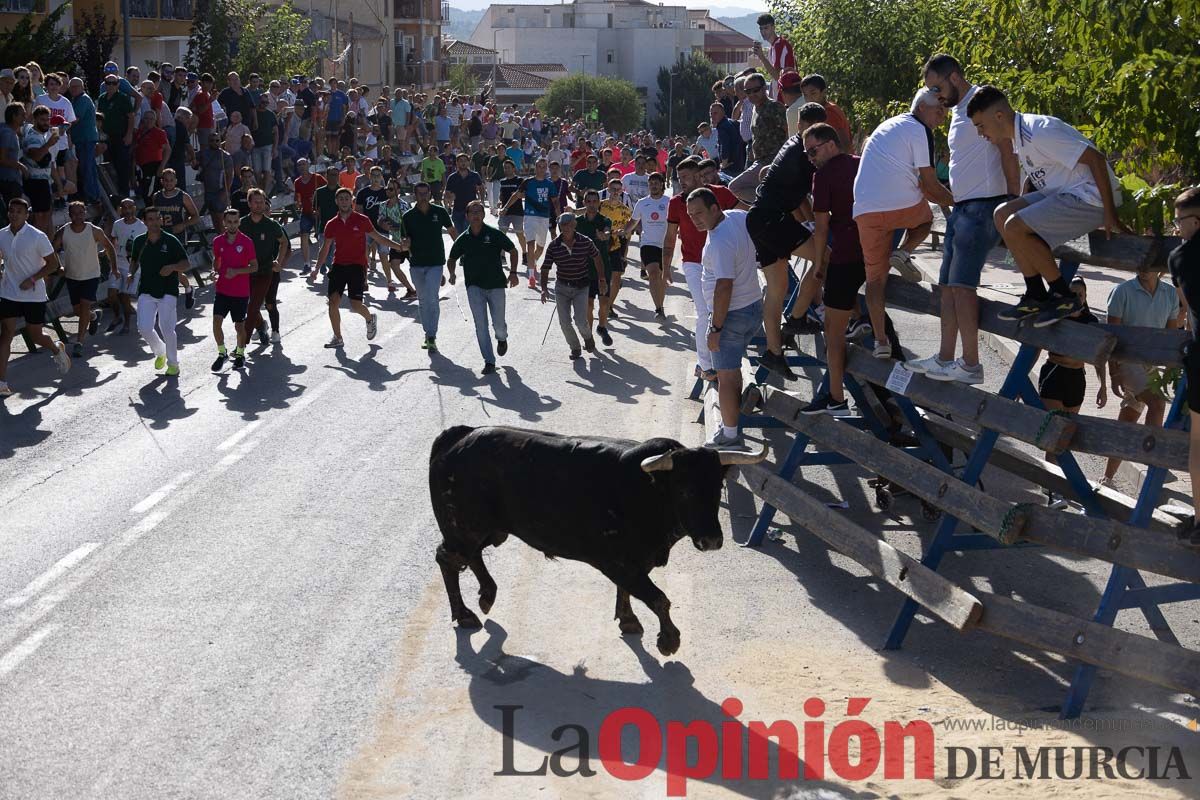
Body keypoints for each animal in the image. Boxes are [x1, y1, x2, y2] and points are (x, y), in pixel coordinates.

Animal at [434, 429, 768, 652]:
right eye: (684, 490)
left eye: (718, 487)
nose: (712, 540)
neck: (647, 491)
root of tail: (457, 437)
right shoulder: (619, 562)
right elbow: (659, 598)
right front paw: (668, 640)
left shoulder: (636, 561)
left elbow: (629, 591)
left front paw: (628, 619)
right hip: (465, 528)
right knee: (447, 558)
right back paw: (465, 614)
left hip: (488, 531)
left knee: (471, 556)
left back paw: (487, 595)